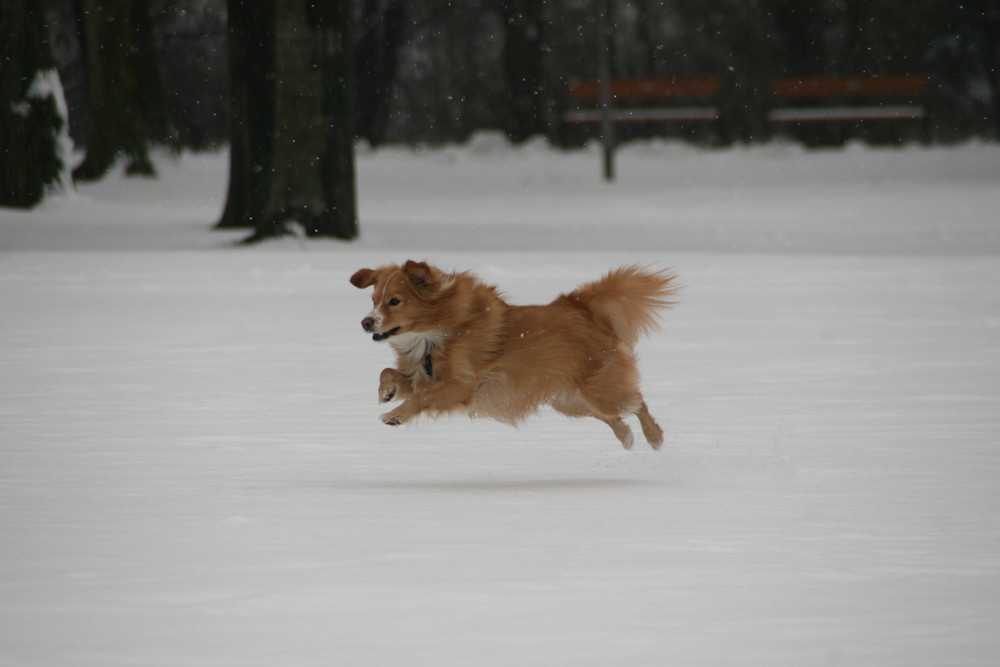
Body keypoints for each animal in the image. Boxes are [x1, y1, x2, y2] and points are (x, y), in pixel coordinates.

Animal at [350, 260, 680, 448]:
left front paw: (395, 415)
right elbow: (390, 373)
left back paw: (655, 437)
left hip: (599, 391)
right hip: (570, 400)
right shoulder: (424, 376)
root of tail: (581, 306)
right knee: (614, 418)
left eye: (394, 301)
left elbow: (420, 398)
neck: (435, 335)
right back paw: (627, 438)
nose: (366, 322)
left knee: (636, 402)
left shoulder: (460, 386)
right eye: (373, 299)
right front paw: (387, 392)